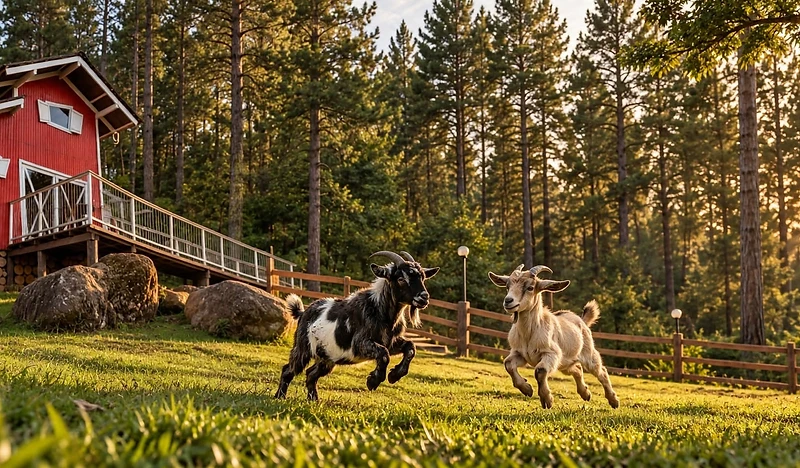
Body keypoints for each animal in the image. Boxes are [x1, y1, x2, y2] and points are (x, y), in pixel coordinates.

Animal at [275, 251, 440, 400]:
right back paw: (280, 396)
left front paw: (394, 375)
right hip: (303, 348)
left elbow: (410, 347)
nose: (424, 297)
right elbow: (384, 354)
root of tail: (303, 313)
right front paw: (373, 381)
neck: (380, 311)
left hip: (327, 358)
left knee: (311, 373)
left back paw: (313, 399)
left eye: (423, 277)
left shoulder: (391, 342)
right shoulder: (360, 343)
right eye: (400, 278)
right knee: (288, 370)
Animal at [488, 264, 619, 409]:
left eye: (530, 287)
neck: (530, 332)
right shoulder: (520, 354)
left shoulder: (551, 353)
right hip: (565, 363)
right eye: (507, 286)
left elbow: (540, 371)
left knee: (601, 371)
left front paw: (547, 399)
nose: (508, 301)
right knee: (577, 369)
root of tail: (582, 320)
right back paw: (585, 393)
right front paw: (527, 389)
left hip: (588, 354)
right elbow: (508, 364)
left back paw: (614, 401)